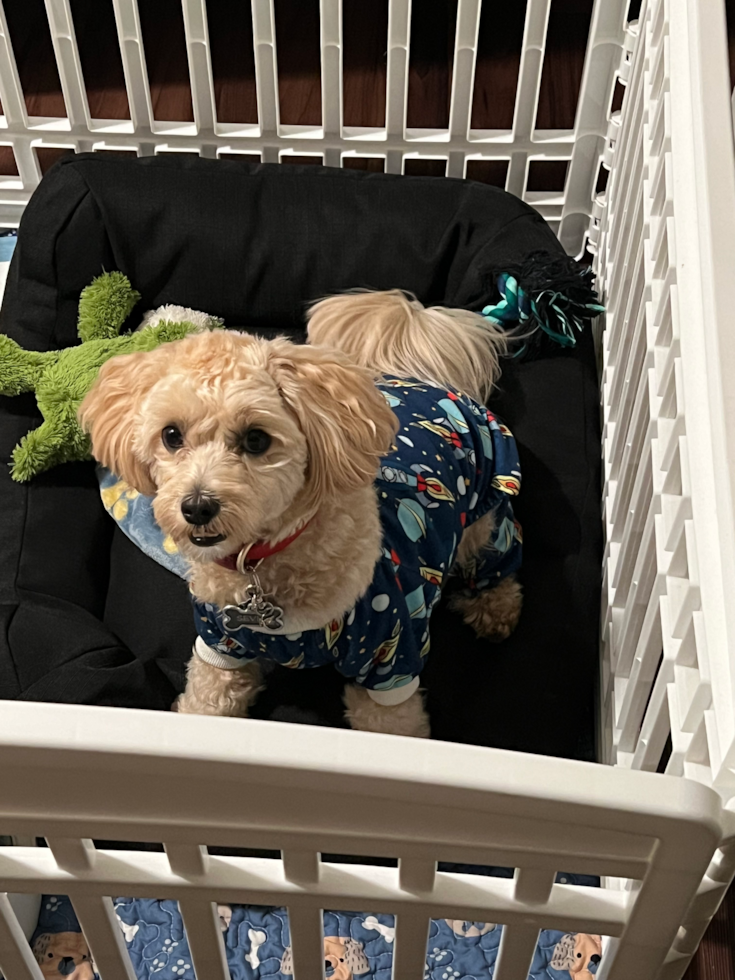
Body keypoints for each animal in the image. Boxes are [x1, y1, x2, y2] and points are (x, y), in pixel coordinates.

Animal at [79, 290, 524, 736]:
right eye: (171, 435)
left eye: (256, 440)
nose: (197, 507)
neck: (263, 561)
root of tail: (427, 379)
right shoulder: (222, 646)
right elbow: (208, 700)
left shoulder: (390, 657)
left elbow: (392, 727)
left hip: (486, 514)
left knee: (498, 561)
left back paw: (495, 609)